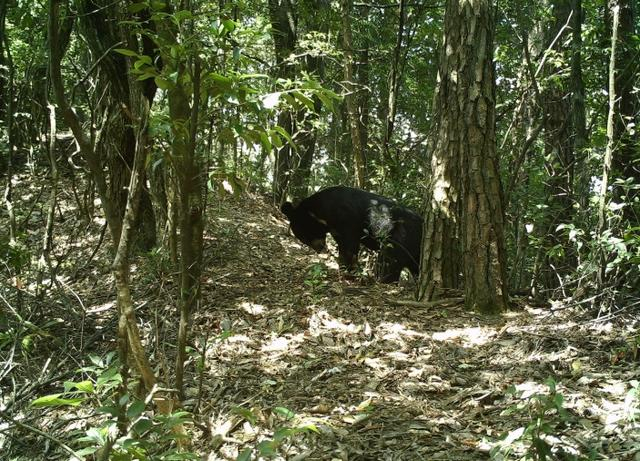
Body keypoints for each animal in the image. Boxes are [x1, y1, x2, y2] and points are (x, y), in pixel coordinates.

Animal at [281, 186, 422, 282]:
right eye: (303, 238)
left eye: (308, 234)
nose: (319, 249)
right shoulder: (336, 230)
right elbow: (343, 247)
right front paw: (342, 267)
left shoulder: (347, 219)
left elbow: (350, 246)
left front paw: (350, 272)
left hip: (401, 235)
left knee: (390, 259)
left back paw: (383, 280)